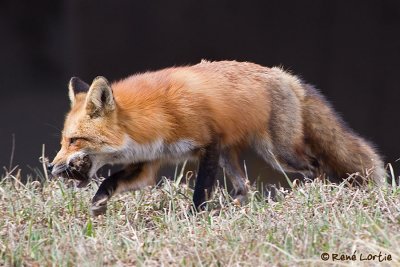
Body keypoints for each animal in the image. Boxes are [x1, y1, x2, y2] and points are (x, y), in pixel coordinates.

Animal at [48, 60, 386, 216]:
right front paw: (97, 207)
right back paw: (237, 207)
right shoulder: (148, 163)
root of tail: (285, 75)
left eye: (75, 140)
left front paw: (195, 218)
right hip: (232, 156)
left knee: (315, 166)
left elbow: (200, 191)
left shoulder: (207, 144)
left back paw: (314, 193)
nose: (52, 167)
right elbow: (110, 181)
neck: (155, 115)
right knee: (244, 186)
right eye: (64, 140)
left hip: (278, 154)